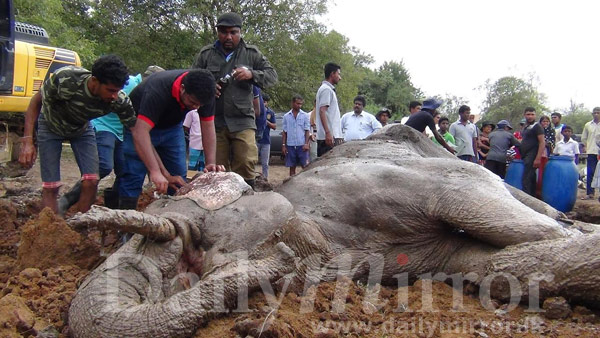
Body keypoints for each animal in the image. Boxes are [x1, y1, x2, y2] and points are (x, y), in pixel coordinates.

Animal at [67, 124, 600, 338]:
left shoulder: (413, 184)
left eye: (196, 232)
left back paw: (570, 220)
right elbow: (495, 267)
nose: (80, 220)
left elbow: (472, 205)